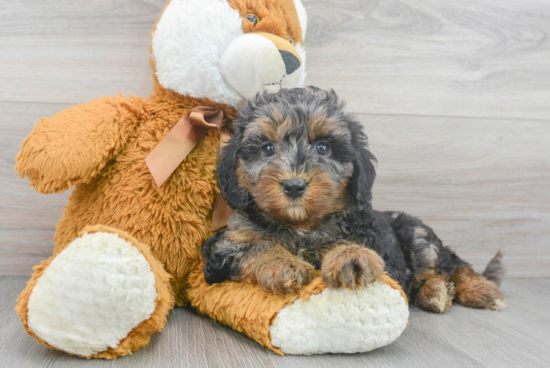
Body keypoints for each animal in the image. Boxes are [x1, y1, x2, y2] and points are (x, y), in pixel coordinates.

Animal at [202, 87, 504, 314]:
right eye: (267, 149)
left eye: (323, 148)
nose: (294, 186)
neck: (303, 225)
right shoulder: (222, 248)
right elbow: (258, 246)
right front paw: (285, 265)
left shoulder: (372, 239)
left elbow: (354, 245)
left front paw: (350, 257)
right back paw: (438, 293)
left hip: (416, 233)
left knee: (450, 264)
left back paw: (478, 290)